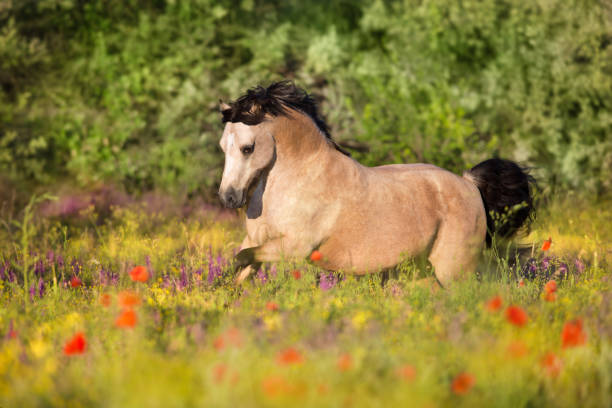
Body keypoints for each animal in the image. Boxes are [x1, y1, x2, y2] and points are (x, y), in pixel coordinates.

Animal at [218, 80, 532, 286]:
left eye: (247, 148)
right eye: (223, 146)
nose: (228, 197)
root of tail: (470, 184)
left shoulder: (296, 247)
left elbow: (242, 259)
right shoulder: (256, 241)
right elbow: (240, 265)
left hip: (454, 270)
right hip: (423, 269)